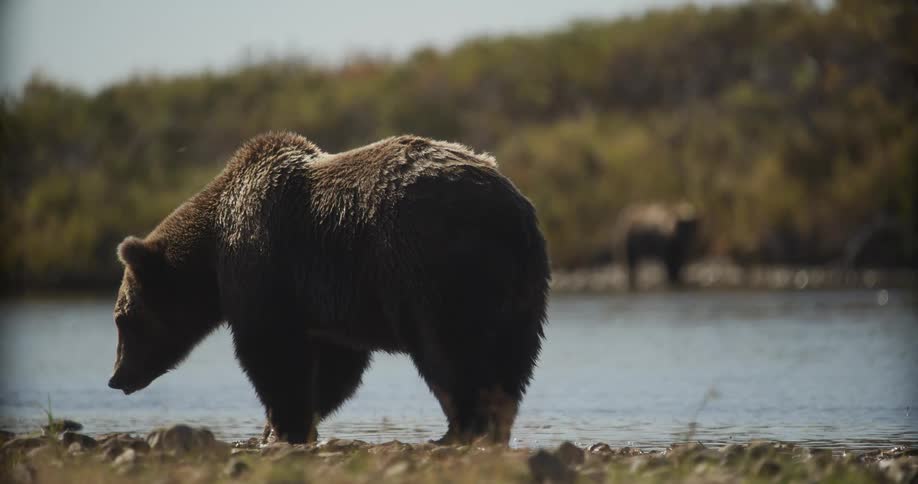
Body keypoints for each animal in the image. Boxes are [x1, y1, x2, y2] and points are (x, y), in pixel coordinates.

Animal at [107, 132, 550, 445]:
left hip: (432, 267)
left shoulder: (266, 264)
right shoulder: (330, 301)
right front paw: (283, 426)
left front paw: (280, 426)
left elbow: (271, 351)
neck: (213, 251)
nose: (116, 377)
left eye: (122, 319)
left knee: (450, 349)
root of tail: (511, 211)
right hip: (522, 286)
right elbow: (336, 367)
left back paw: (457, 430)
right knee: (512, 357)